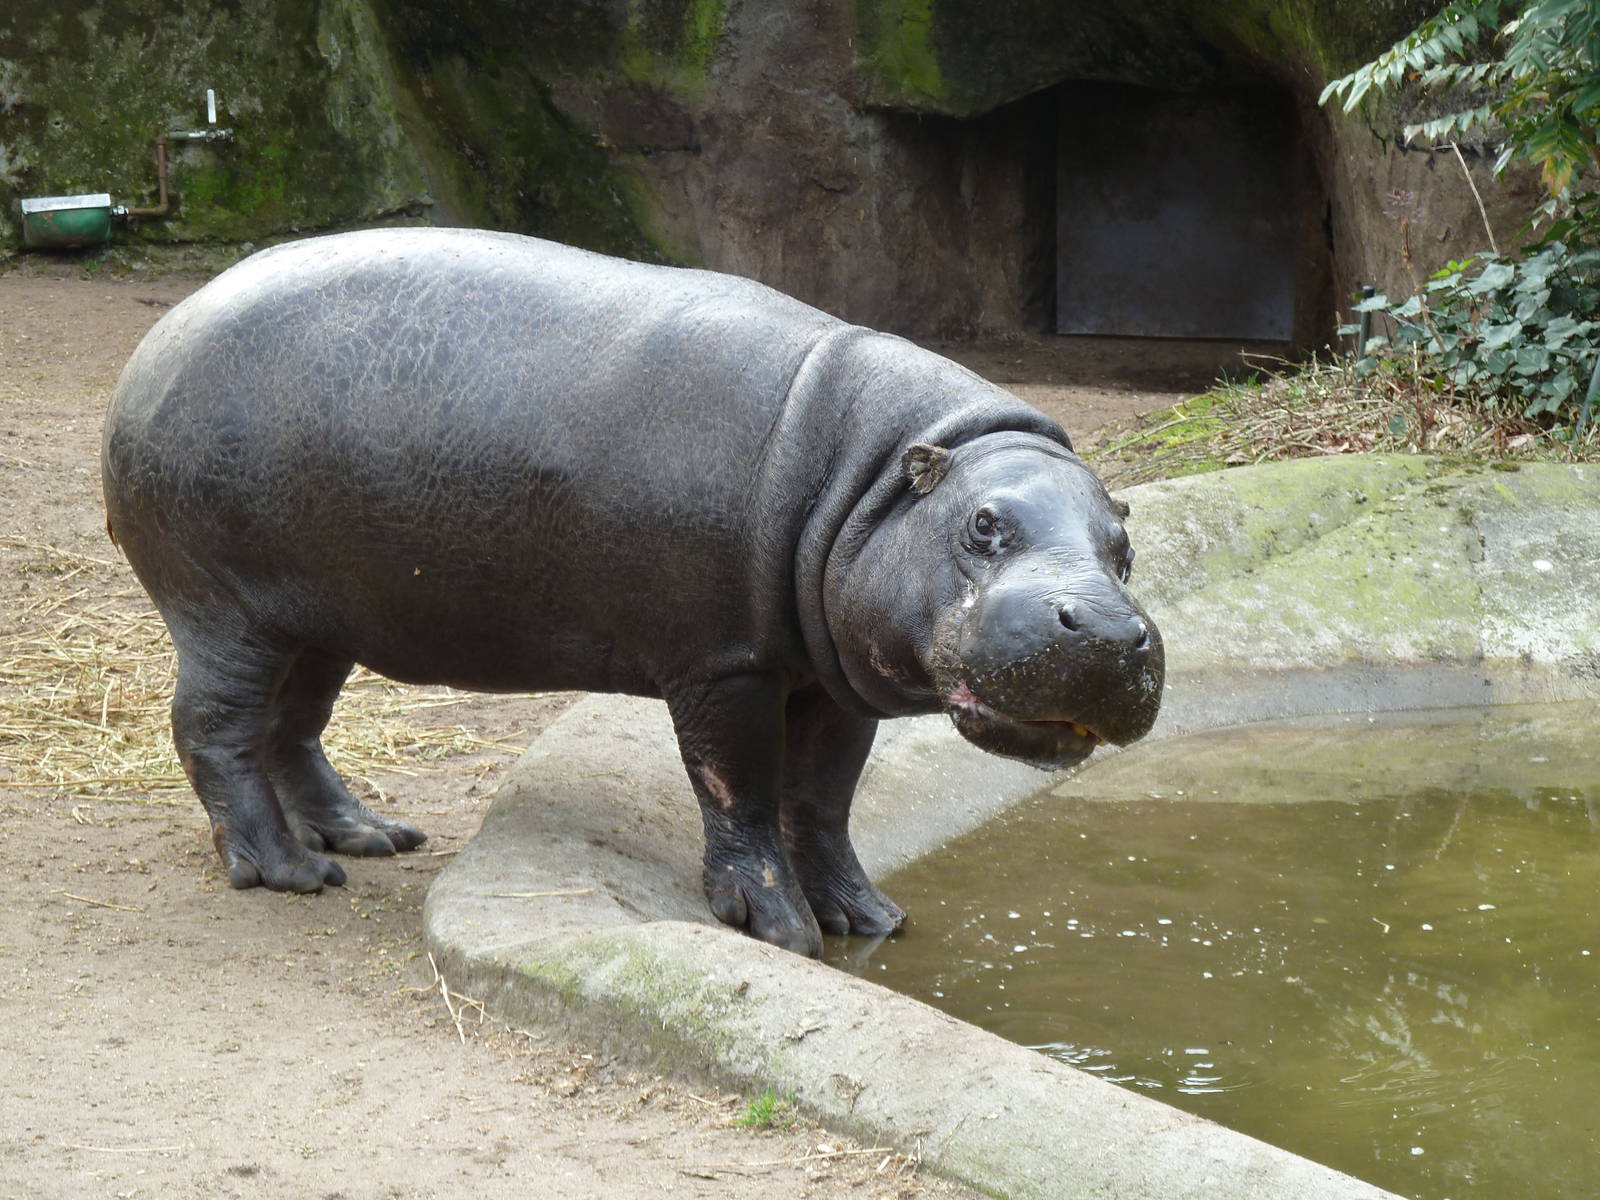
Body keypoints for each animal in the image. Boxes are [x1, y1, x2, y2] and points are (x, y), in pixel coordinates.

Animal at [102, 228, 1163, 957]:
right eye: (984, 525)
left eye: (1124, 548)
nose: (1112, 633)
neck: (871, 478)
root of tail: (158, 339)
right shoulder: (724, 666)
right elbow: (742, 790)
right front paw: (779, 929)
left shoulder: (835, 684)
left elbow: (823, 803)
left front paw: (868, 918)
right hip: (223, 608)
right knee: (214, 727)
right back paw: (288, 872)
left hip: (319, 615)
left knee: (294, 727)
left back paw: (371, 836)